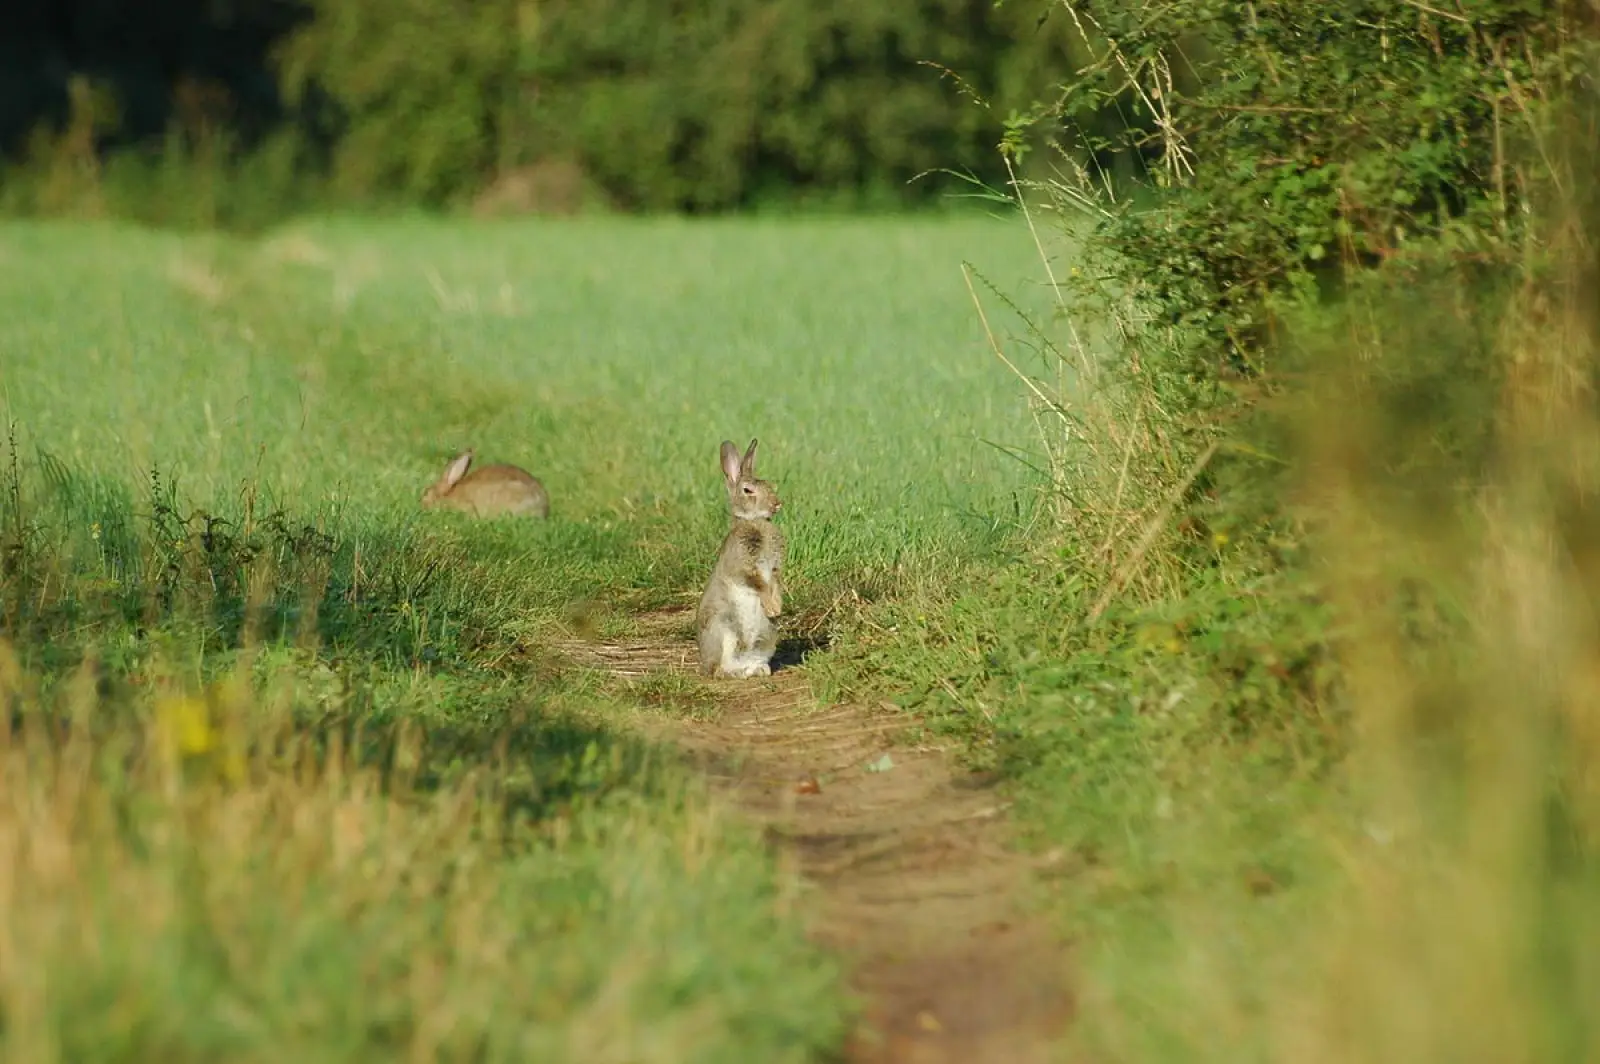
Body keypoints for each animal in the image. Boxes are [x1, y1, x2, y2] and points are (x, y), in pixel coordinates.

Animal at [696, 438, 786, 679]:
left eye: (768, 484)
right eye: (748, 490)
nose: (777, 503)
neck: (753, 521)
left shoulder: (774, 568)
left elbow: (775, 582)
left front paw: (777, 607)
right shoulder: (743, 567)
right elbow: (758, 584)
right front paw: (772, 608)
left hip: (766, 638)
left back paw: (759, 671)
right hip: (724, 629)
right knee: (720, 668)